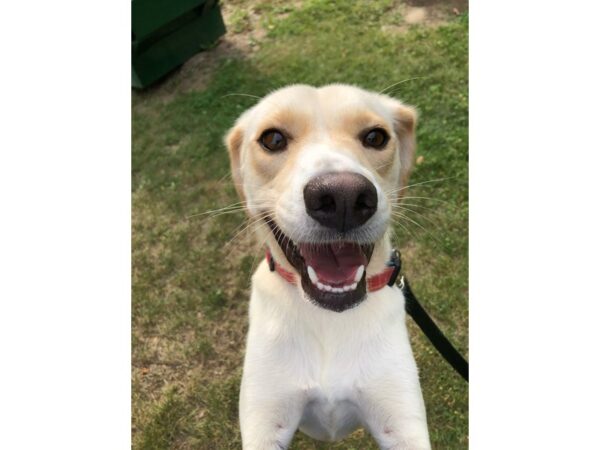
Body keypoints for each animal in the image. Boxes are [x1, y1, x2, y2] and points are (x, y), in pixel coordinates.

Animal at [226, 84, 432, 450]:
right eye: (273, 139)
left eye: (376, 136)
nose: (343, 198)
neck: (328, 318)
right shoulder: (265, 418)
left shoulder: (401, 418)